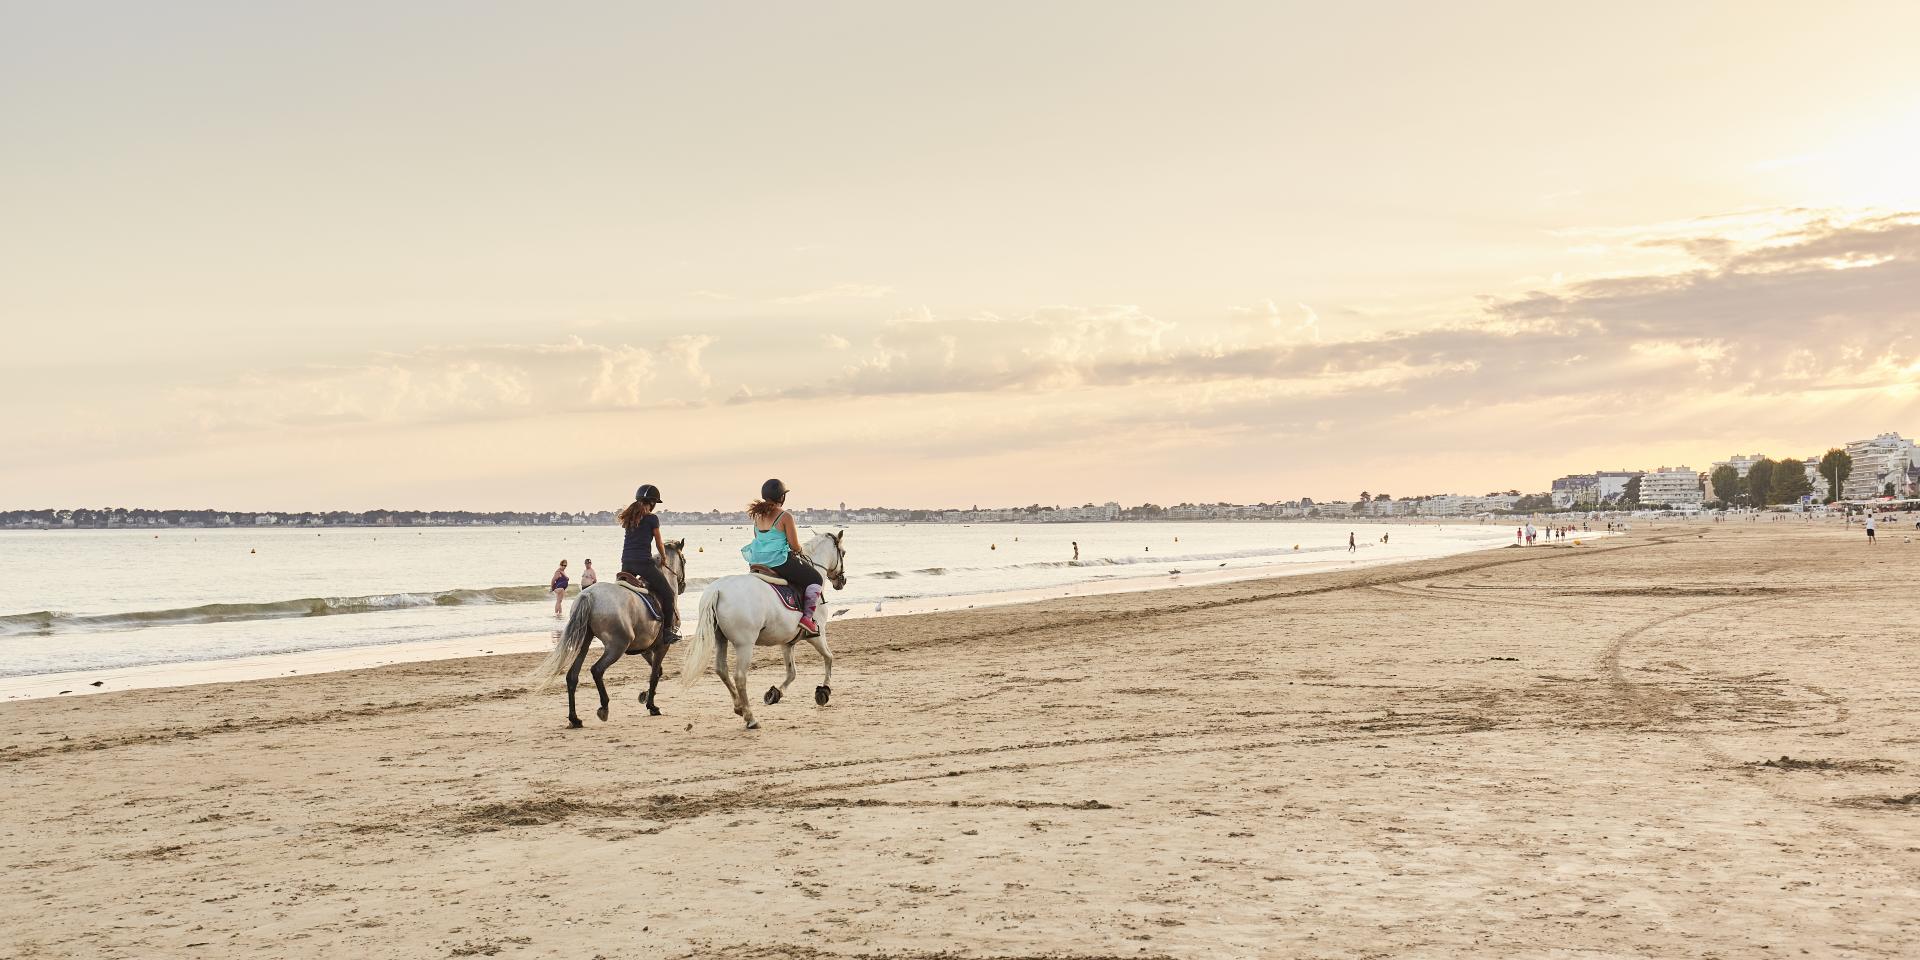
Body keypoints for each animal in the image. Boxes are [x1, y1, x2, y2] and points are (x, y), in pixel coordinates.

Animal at [533, 541, 691, 725]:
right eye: (684, 560)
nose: (683, 586)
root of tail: (589, 594)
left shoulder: (645, 649)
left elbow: (658, 671)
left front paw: (644, 696)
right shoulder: (661, 647)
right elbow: (654, 675)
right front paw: (651, 705)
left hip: (584, 642)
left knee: (572, 676)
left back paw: (575, 718)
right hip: (617, 646)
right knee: (597, 670)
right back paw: (604, 707)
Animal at [683, 533, 848, 725]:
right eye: (843, 552)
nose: (842, 581)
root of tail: (717, 590)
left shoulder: (787, 643)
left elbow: (792, 672)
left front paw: (775, 693)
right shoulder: (817, 636)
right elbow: (829, 658)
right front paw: (824, 691)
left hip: (720, 638)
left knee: (722, 670)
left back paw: (739, 707)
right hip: (745, 645)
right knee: (740, 677)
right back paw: (750, 717)